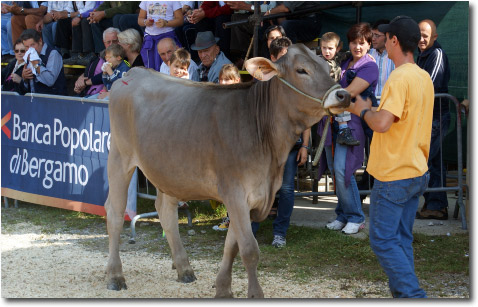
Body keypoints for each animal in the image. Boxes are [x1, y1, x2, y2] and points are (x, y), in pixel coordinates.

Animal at [105, 43, 352, 298]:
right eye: (301, 70)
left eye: (328, 69)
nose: (343, 95)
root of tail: (133, 73)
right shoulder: (234, 192)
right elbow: (249, 248)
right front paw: (255, 294)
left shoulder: (251, 196)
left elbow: (231, 246)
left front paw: (223, 288)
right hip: (120, 158)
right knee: (114, 213)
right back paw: (115, 276)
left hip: (168, 171)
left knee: (165, 212)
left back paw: (184, 269)